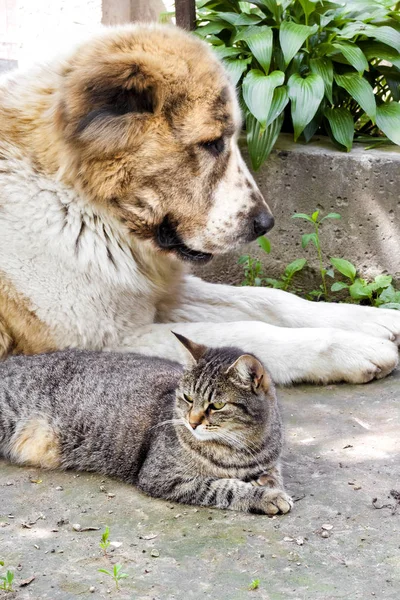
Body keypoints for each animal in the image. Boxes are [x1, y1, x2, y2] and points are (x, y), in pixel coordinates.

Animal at [0, 24, 398, 384]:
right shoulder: (105, 340)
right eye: (211, 144)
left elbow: (265, 298)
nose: (266, 224)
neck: (84, 205)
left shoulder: (161, 292)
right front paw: (350, 347)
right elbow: (247, 332)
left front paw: (373, 320)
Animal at [0, 332, 294, 516]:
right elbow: (224, 487)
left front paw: (268, 485)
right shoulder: (162, 476)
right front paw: (265, 497)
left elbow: (272, 474)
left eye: (217, 406)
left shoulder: (269, 461)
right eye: (188, 398)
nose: (192, 422)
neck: (241, 448)